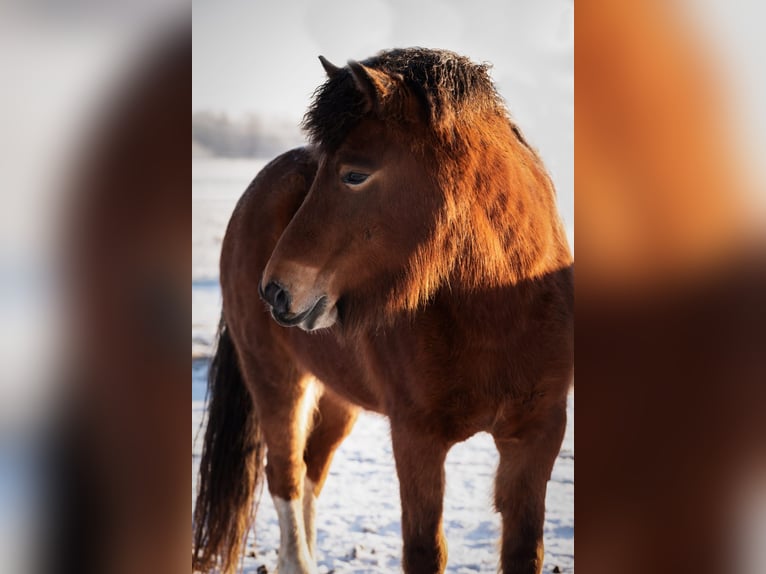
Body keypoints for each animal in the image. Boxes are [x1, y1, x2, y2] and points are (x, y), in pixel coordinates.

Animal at [192, 48, 573, 574]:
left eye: (355, 174)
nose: (275, 290)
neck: (499, 316)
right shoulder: (415, 438)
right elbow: (424, 550)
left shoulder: (537, 435)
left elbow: (523, 550)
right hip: (276, 380)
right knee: (285, 476)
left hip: (337, 396)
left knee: (311, 474)